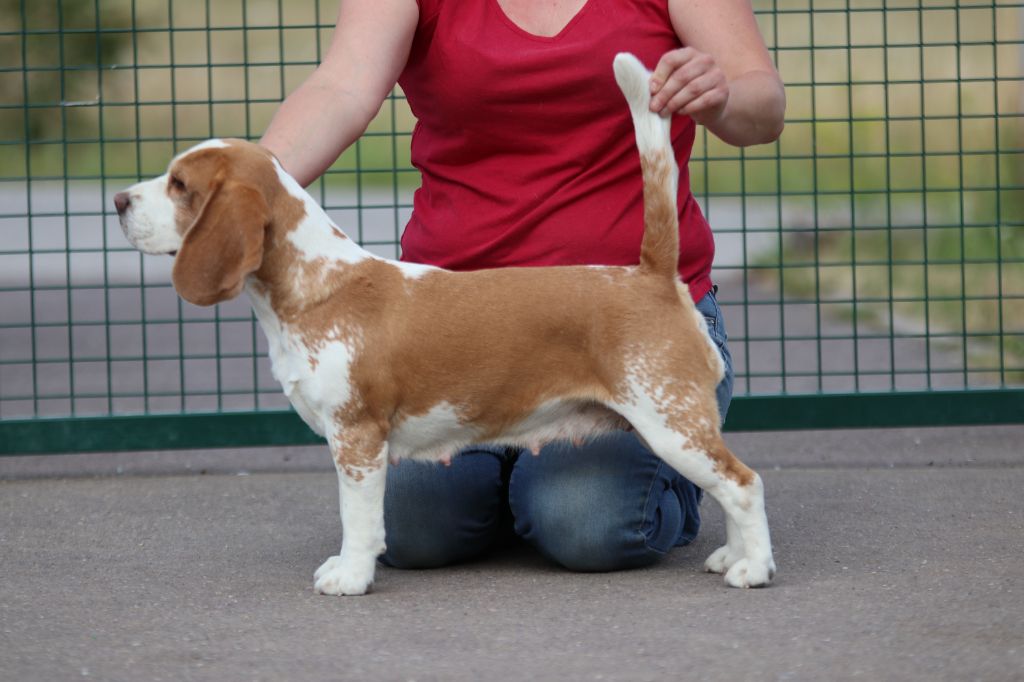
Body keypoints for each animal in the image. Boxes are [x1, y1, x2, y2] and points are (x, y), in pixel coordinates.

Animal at [116, 55, 770, 593]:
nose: (119, 202)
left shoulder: (358, 437)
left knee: (743, 482)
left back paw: (753, 569)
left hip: (670, 424)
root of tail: (650, 274)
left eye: (180, 185)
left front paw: (350, 577)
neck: (314, 283)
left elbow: (358, 518)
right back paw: (729, 557)